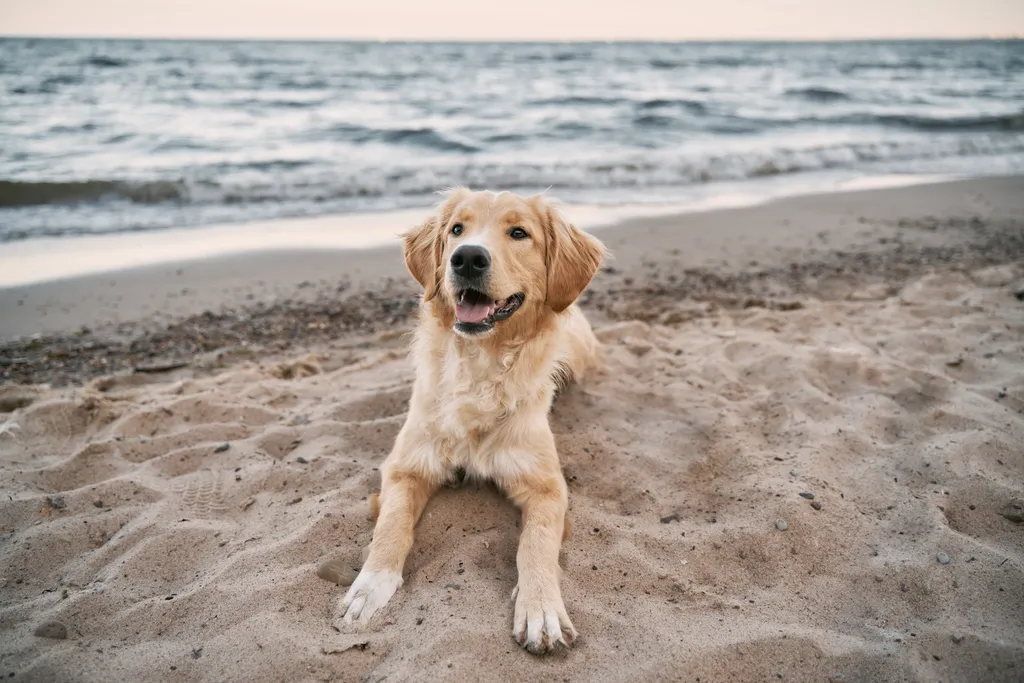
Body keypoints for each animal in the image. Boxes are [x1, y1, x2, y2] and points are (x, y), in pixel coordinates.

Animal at [335, 188, 606, 655]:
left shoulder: (547, 486)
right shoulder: (406, 467)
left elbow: (536, 543)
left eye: (519, 233)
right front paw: (368, 588)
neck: (479, 365)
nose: (467, 259)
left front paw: (540, 608)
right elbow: (390, 527)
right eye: (457, 229)